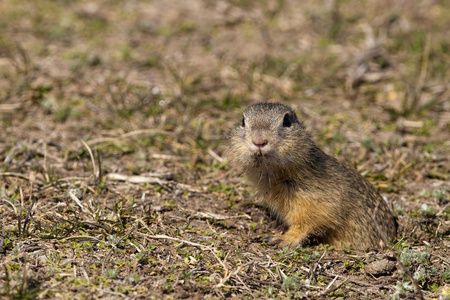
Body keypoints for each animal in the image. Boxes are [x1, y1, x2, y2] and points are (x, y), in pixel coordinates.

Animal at [229, 102, 398, 250]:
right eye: (243, 121)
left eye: (287, 121)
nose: (259, 141)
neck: (274, 174)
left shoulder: (318, 200)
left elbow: (307, 222)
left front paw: (283, 239)